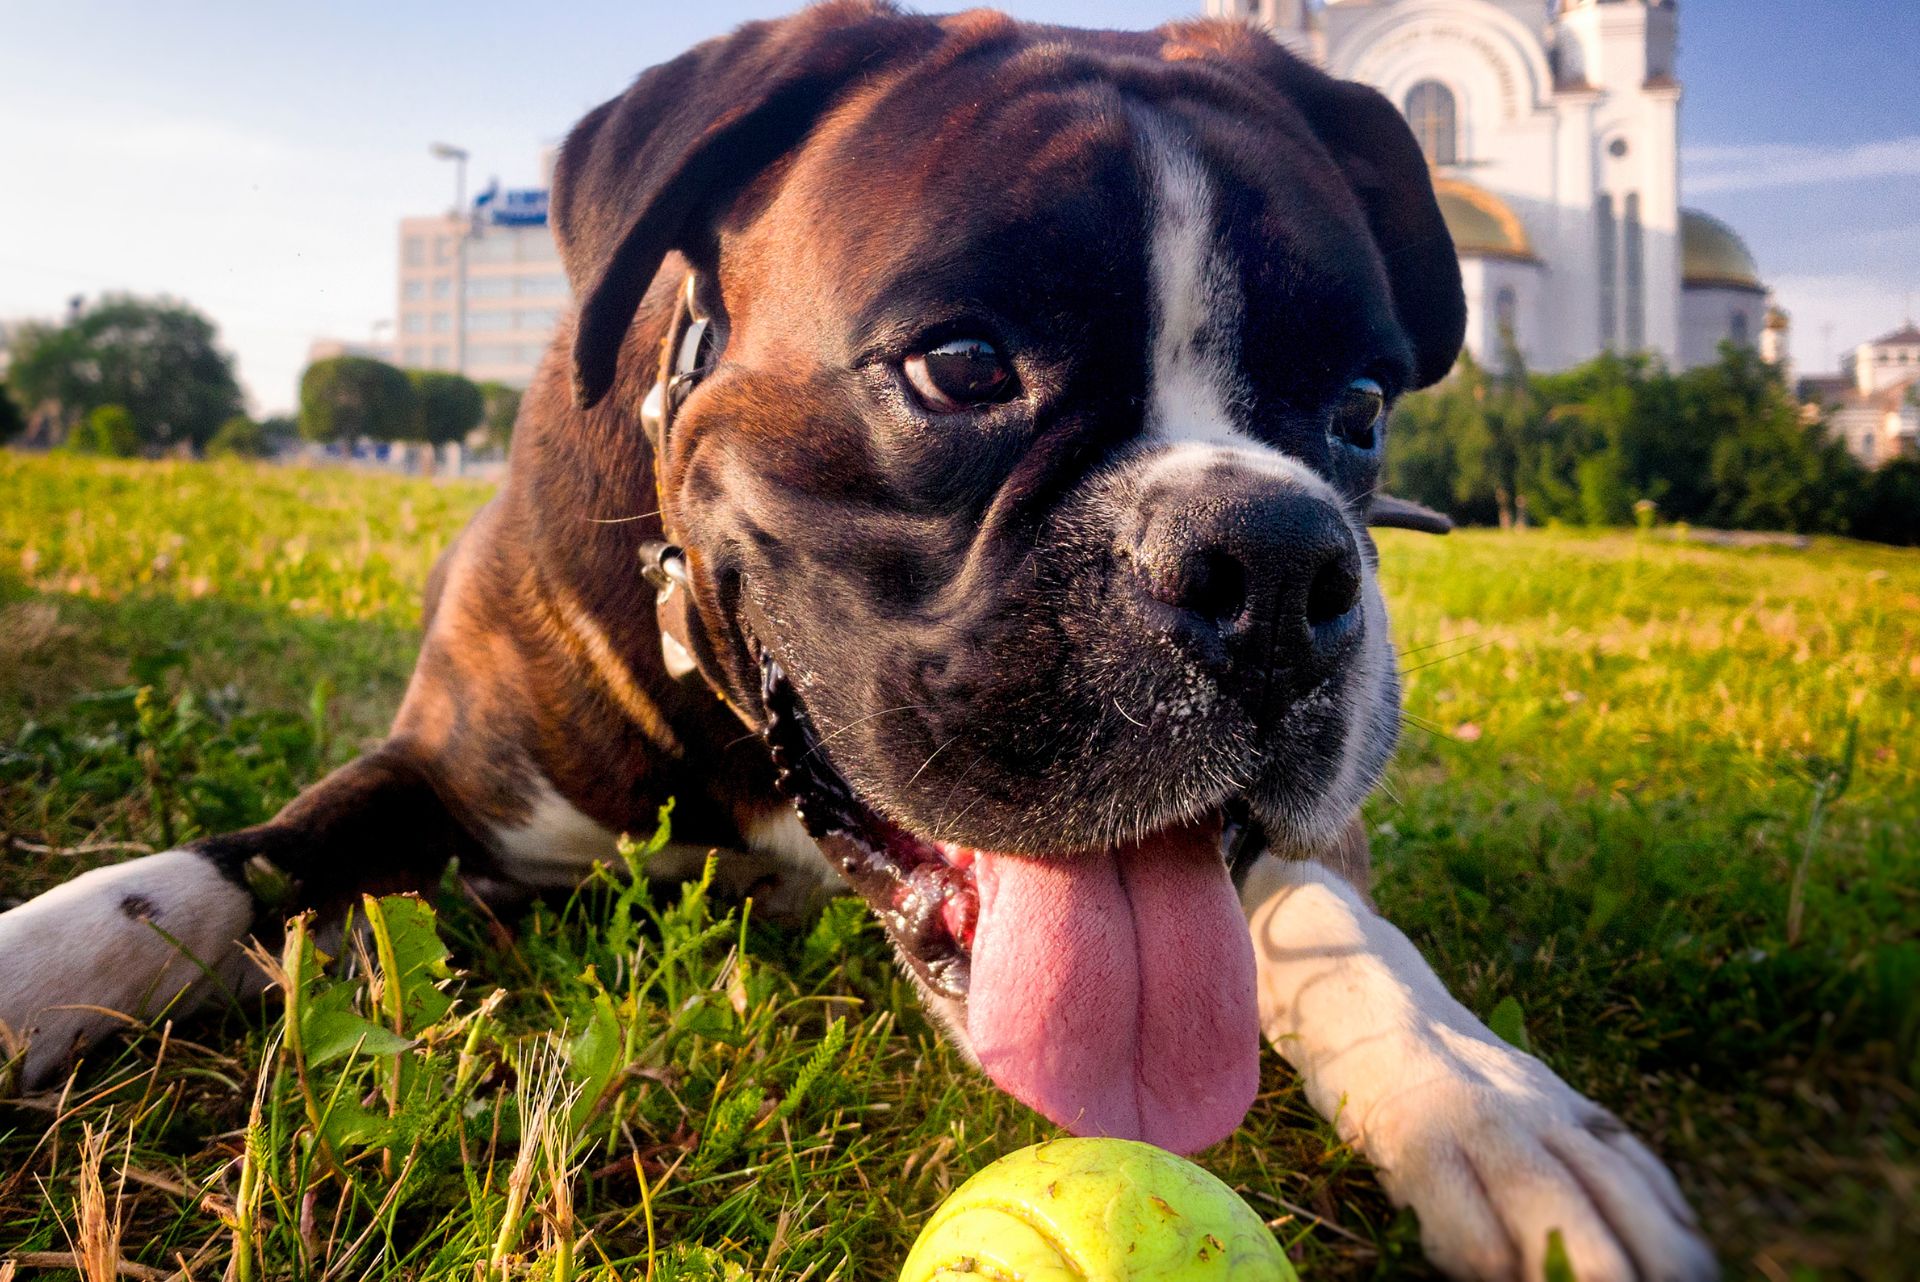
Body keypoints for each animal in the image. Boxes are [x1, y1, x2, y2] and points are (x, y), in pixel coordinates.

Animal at [0, 5, 1716, 1277]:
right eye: (961, 366)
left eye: (1358, 408)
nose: (1278, 561)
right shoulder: (441, 777)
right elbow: (224, 869)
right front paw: (34, 960)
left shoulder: (1295, 845)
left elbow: (1343, 937)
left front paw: (1501, 1112)